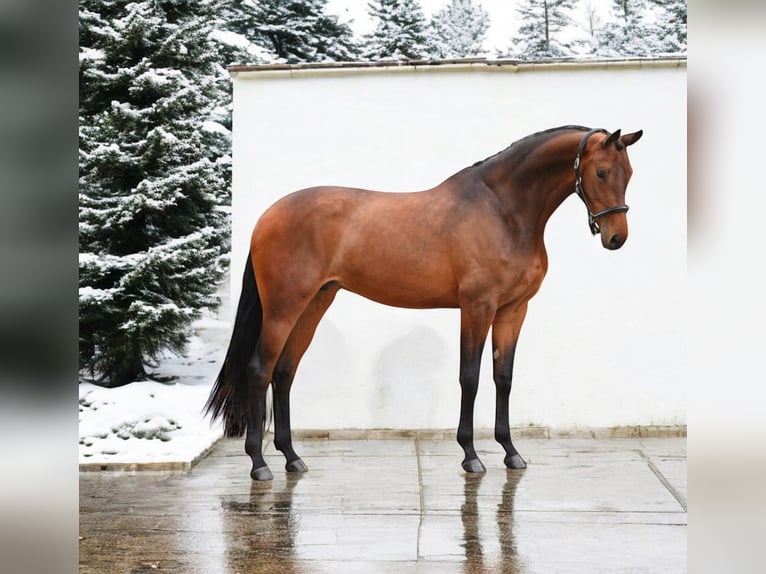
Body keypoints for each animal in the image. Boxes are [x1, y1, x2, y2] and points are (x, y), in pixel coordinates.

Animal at [204, 126, 640, 482]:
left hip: (314, 304)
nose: (616, 237)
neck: (503, 210)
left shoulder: (513, 310)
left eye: (630, 173)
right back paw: (259, 464)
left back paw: (292, 458)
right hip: (283, 308)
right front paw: (471, 456)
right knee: (260, 370)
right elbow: (470, 377)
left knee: (285, 373)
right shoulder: (477, 307)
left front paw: (511, 452)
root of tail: (268, 216)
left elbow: (503, 378)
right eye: (601, 172)